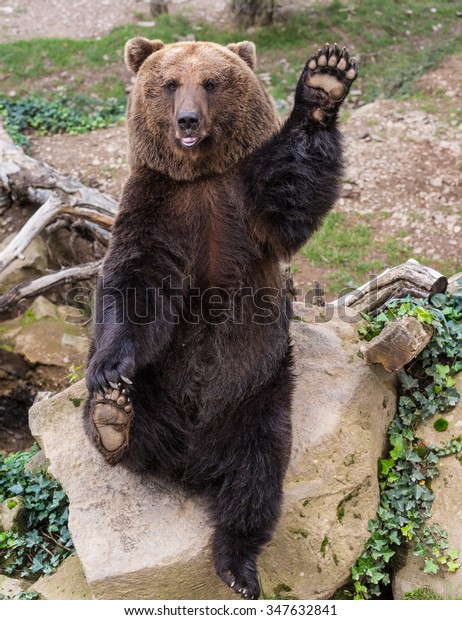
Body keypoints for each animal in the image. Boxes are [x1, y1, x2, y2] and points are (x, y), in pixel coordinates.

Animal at [85, 36, 360, 600]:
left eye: (211, 82)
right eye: (170, 83)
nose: (188, 120)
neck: (201, 175)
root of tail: (188, 460)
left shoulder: (245, 204)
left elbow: (292, 192)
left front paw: (325, 79)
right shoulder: (157, 203)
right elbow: (134, 286)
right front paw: (107, 370)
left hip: (258, 389)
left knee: (255, 476)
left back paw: (238, 567)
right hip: (162, 384)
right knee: (127, 429)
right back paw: (113, 417)